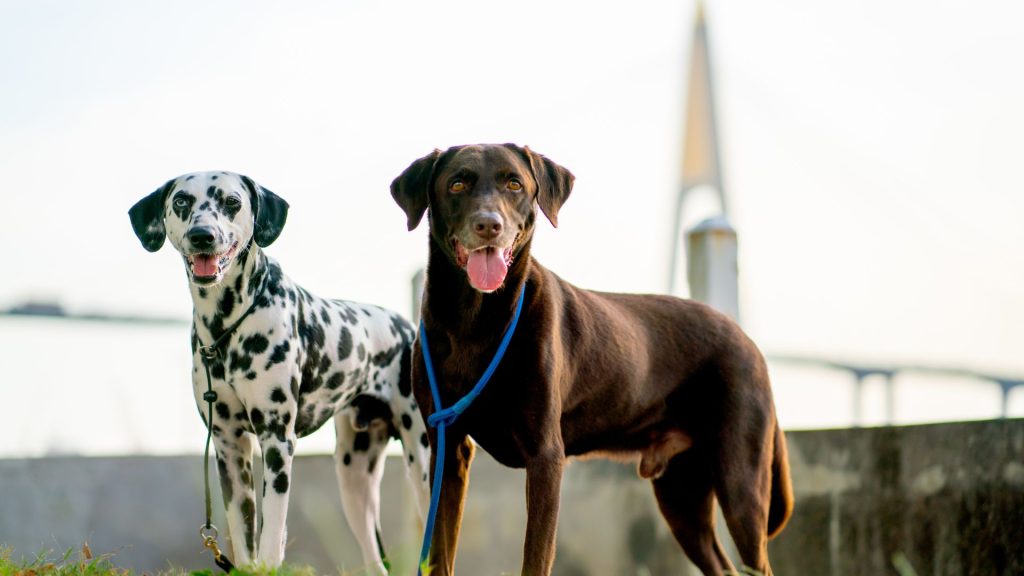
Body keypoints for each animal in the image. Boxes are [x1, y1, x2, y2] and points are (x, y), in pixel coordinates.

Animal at [131, 170, 428, 569]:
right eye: (181, 202)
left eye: (232, 202)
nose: (202, 235)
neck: (226, 328)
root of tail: (407, 328)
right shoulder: (229, 448)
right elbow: (244, 539)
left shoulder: (276, 441)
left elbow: (271, 535)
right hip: (354, 477)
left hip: (423, 464)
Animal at [391, 144, 790, 573]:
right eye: (457, 184)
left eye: (514, 184)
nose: (488, 225)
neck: (475, 319)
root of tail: (747, 339)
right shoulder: (448, 449)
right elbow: (440, 555)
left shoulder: (546, 455)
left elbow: (536, 558)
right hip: (682, 494)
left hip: (740, 480)